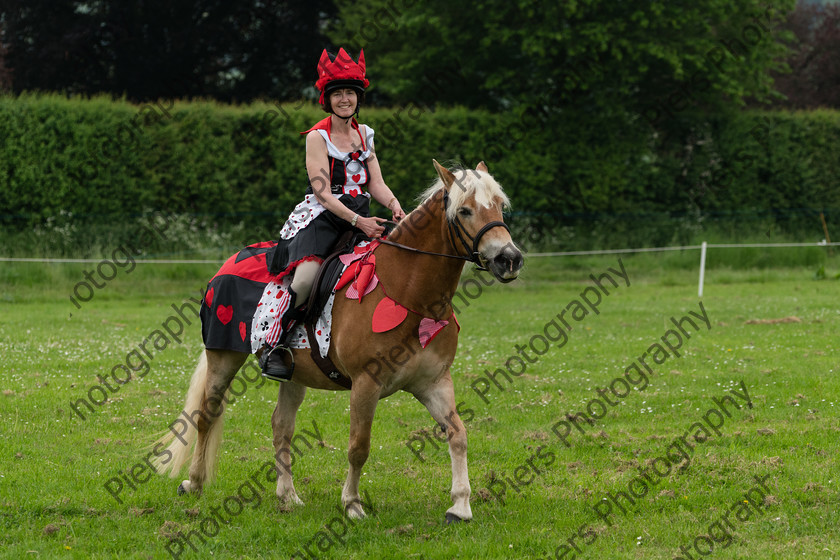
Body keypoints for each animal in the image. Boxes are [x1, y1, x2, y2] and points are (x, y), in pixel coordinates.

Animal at [153, 160, 520, 524]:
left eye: (499, 207)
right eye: (465, 211)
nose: (510, 259)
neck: (404, 290)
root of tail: (229, 262)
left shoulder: (434, 383)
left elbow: (458, 434)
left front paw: (460, 505)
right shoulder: (366, 384)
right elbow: (359, 447)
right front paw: (352, 504)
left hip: (294, 374)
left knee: (281, 427)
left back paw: (287, 495)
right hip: (223, 357)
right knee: (207, 415)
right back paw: (194, 483)